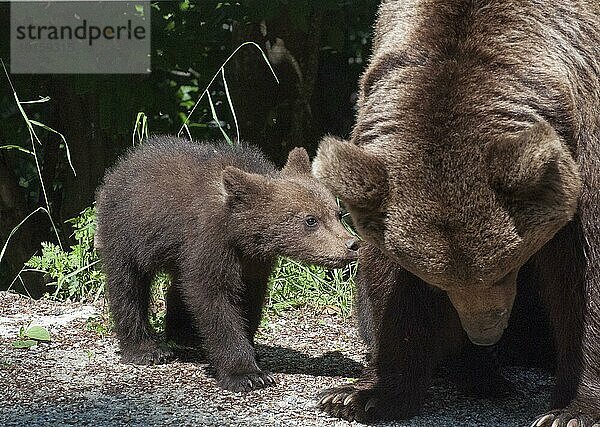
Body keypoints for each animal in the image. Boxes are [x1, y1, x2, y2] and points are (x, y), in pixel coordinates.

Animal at [314, 0, 600, 424]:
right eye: (438, 283)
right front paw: (362, 395)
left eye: (508, 268)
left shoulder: (584, 147)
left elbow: (584, 279)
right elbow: (388, 287)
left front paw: (569, 410)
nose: (485, 333)